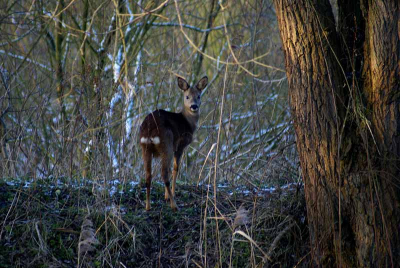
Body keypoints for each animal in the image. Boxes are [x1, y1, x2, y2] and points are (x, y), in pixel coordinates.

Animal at [139, 75, 208, 211]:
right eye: (187, 96)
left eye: (199, 96)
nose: (194, 106)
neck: (187, 122)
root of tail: (149, 131)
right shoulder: (180, 145)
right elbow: (176, 168)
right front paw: (170, 195)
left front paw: (166, 195)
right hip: (167, 145)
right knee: (163, 173)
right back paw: (174, 205)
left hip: (145, 148)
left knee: (148, 175)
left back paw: (148, 206)